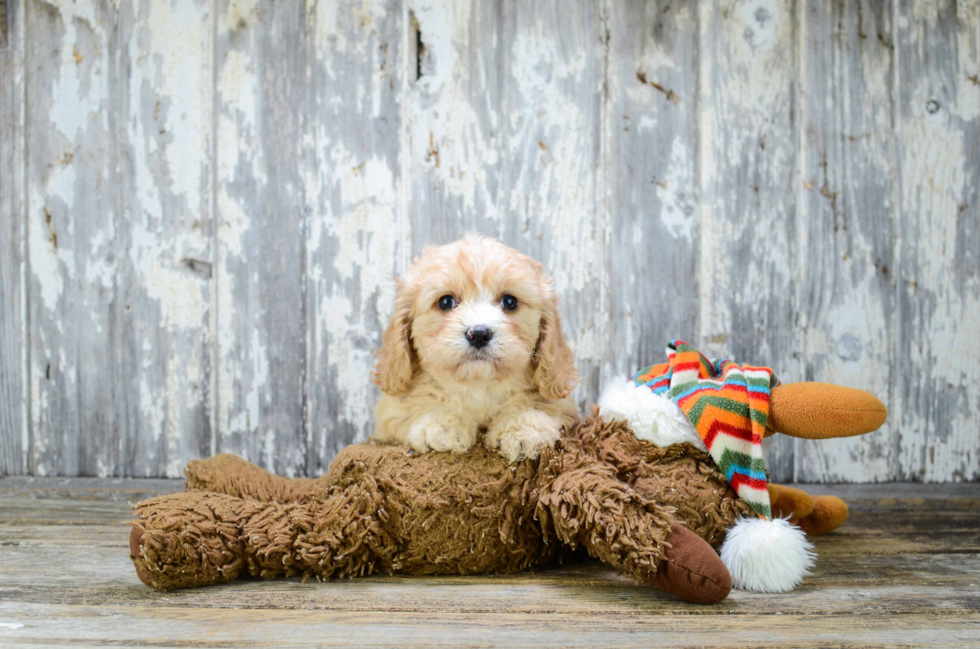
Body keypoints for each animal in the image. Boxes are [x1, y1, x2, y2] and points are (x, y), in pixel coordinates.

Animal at [372, 235, 580, 464]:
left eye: (509, 301)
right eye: (446, 302)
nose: (479, 334)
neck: (478, 387)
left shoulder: (563, 404)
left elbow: (536, 404)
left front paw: (522, 428)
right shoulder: (388, 414)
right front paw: (443, 425)